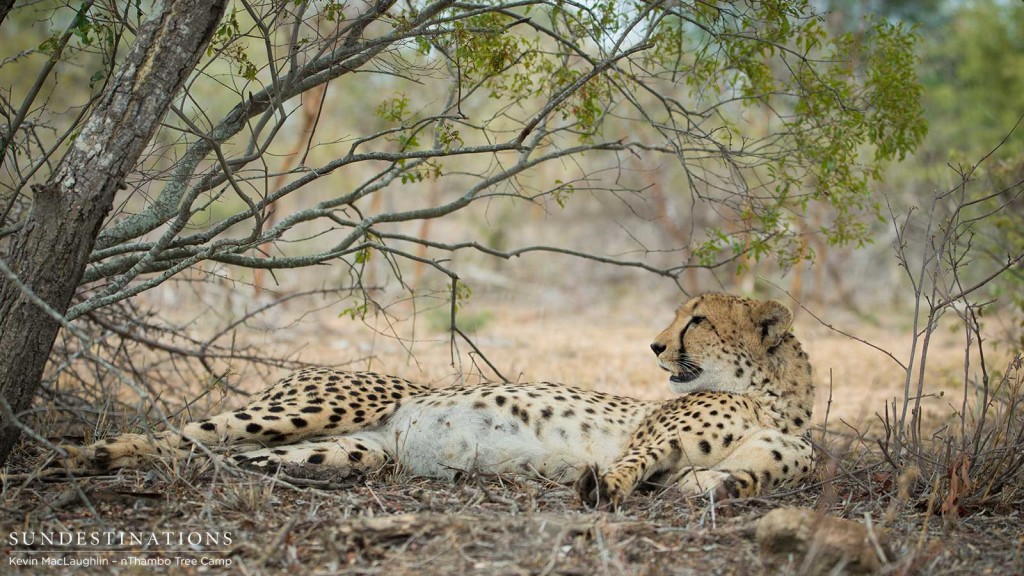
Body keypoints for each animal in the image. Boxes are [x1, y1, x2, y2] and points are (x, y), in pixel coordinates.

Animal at [64, 293, 815, 504]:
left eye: (698, 320)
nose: (655, 346)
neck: (772, 399)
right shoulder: (649, 438)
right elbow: (631, 463)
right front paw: (602, 488)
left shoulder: (765, 462)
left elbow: (729, 479)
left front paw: (713, 489)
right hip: (318, 405)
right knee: (183, 433)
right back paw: (86, 457)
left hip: (347, 450)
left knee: (220, 457)